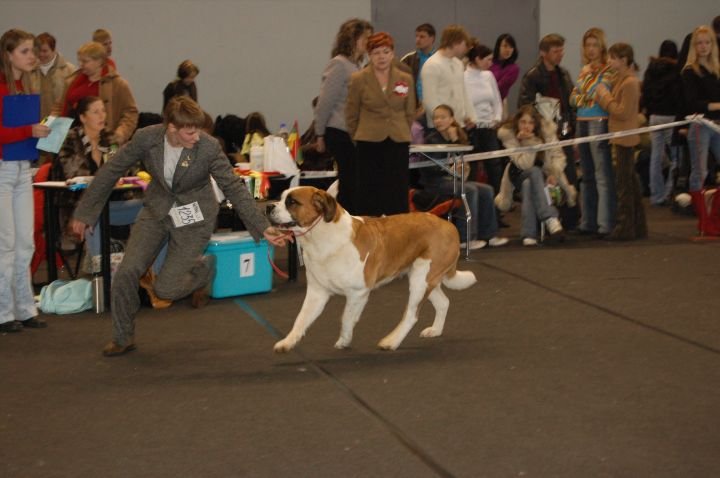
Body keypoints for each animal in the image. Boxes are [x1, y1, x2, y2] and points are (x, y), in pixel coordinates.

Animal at [266, 186, 478, 352]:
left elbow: (346, 317)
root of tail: (448, 225)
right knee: (443, 302)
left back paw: (391, 341)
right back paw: (435, 330)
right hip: (423, 276)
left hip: (422, 277)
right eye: (281, 197)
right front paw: (287, 342)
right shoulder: (317, 292)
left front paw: (344, 340)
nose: (269, 206)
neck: (321, 238)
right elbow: (301, 318)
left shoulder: (358, 292)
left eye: (291, 202)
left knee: (412, 314)